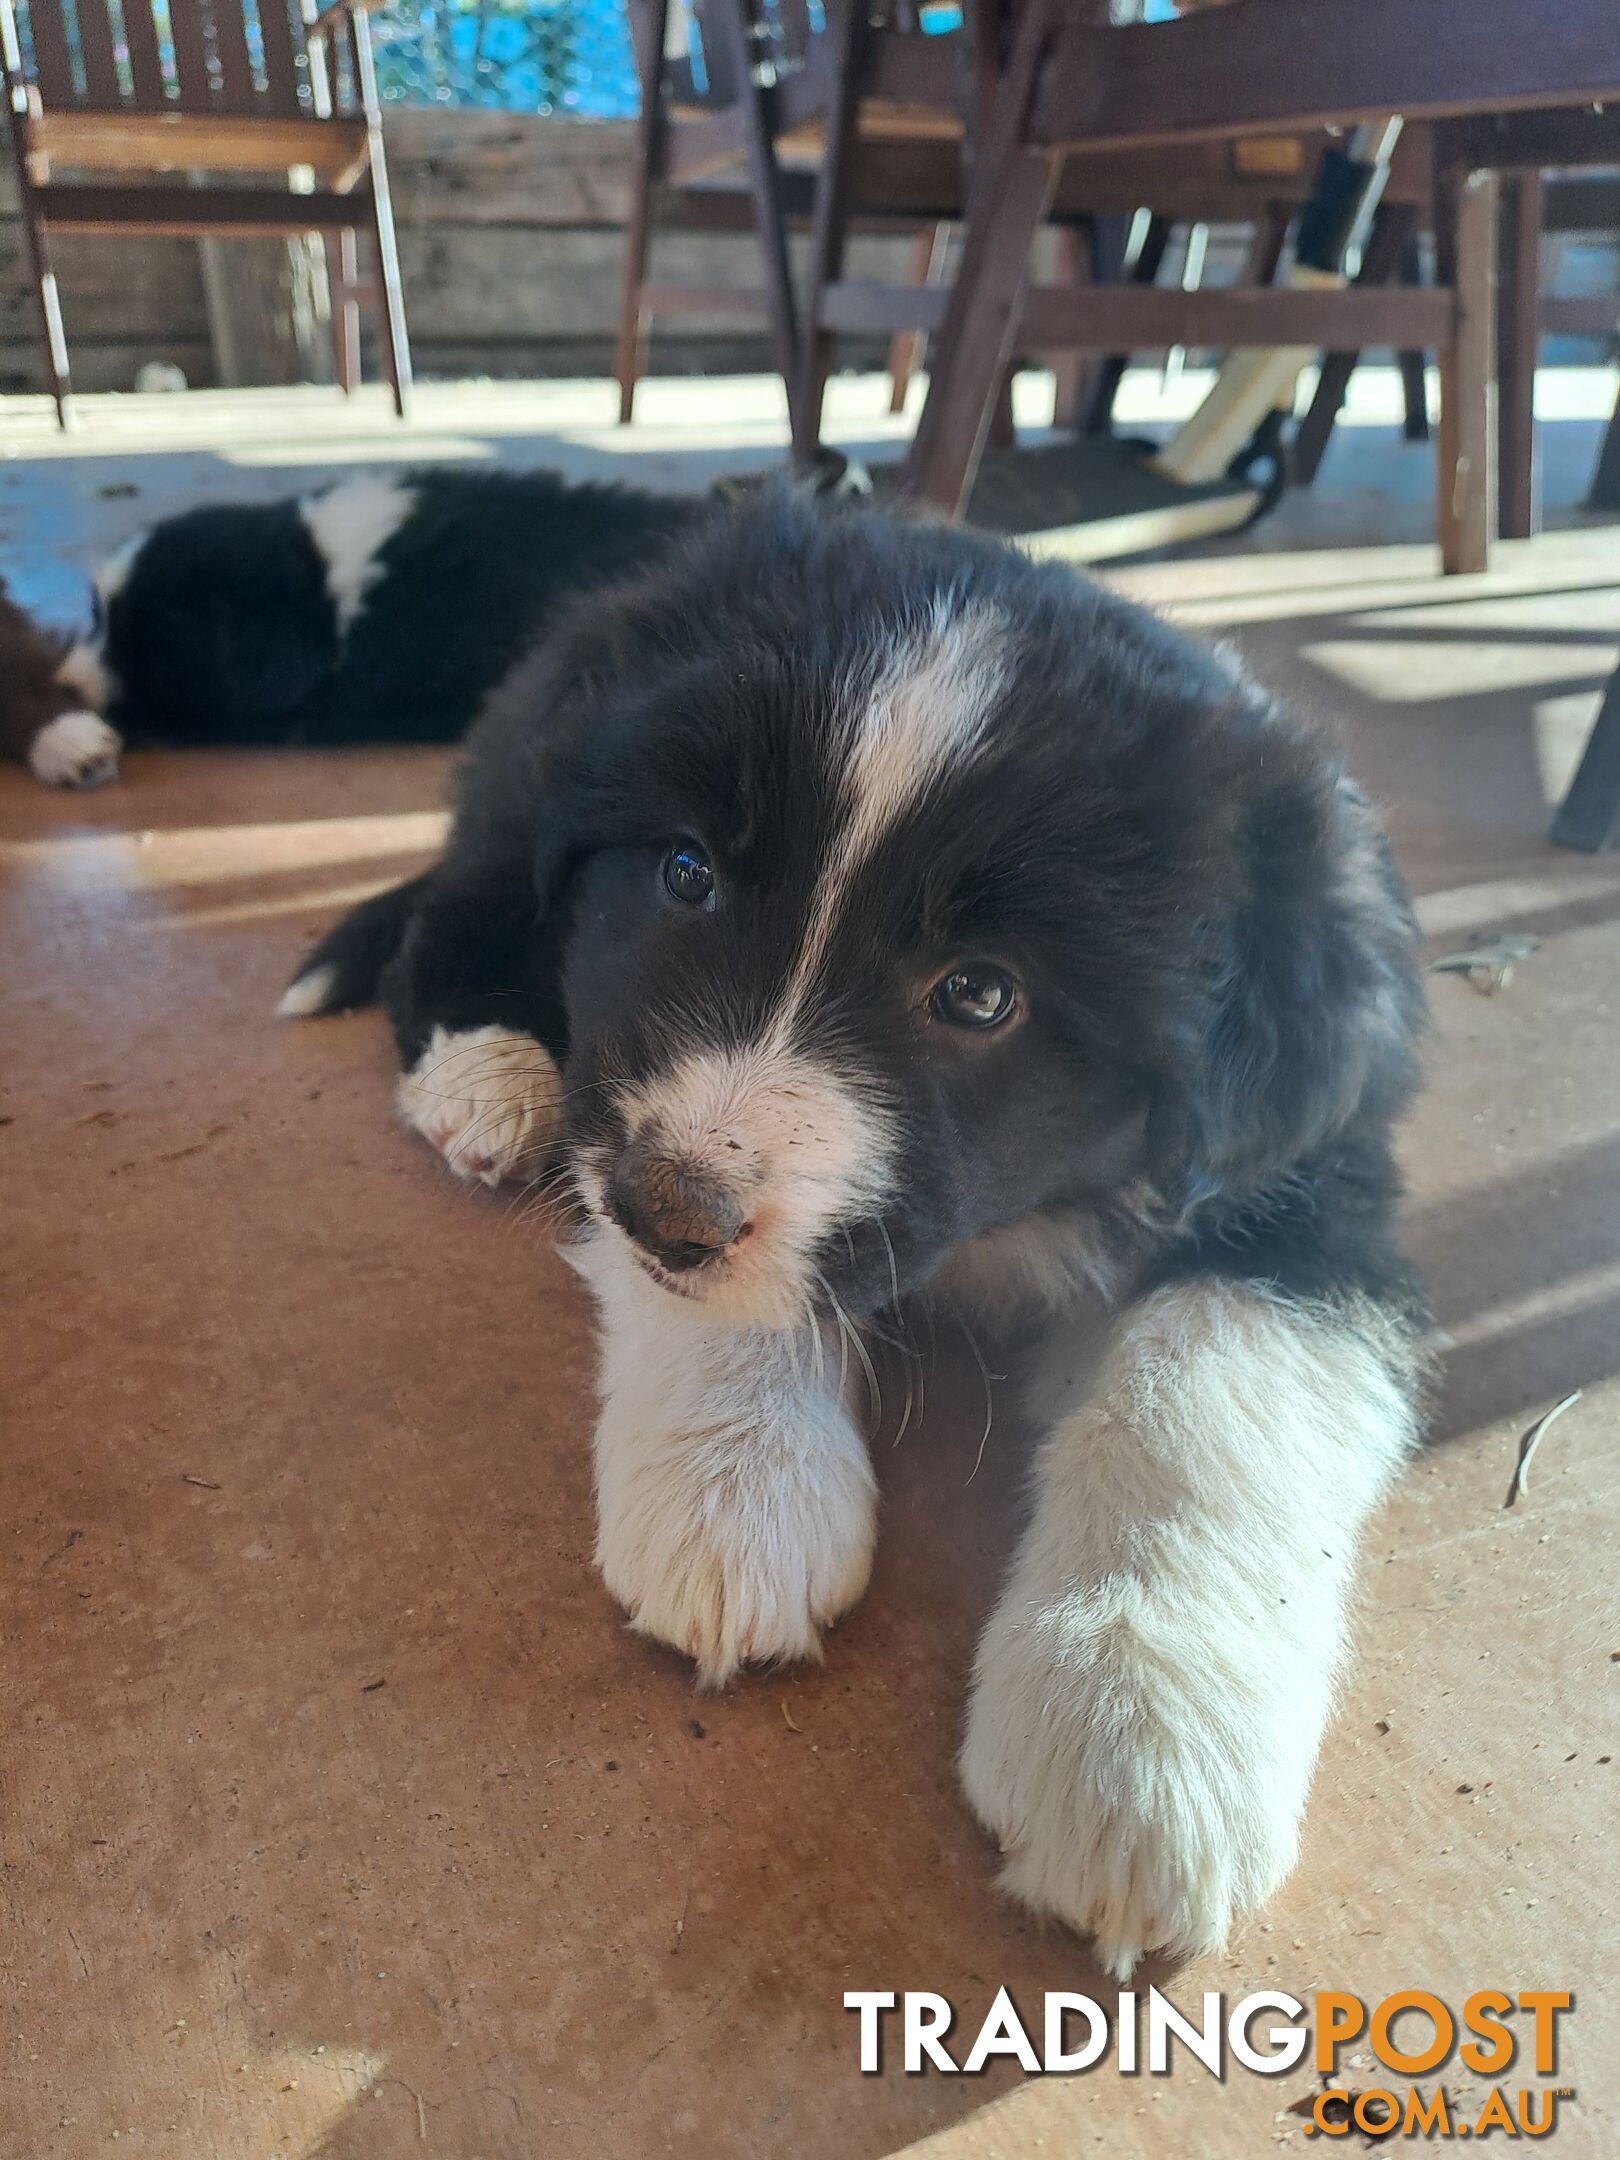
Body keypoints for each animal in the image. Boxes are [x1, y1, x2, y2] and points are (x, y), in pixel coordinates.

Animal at [285, 490, 1425, 1978]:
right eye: (685, 871)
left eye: (982, 994)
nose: (664, 1205)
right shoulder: (627, 1114)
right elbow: (724, 1288)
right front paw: (738, 1493)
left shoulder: (1308, 1190)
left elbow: (1211, 1397)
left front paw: (1139, 1729)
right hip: (530, 780)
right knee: (462, 901)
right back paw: (489, 1078)